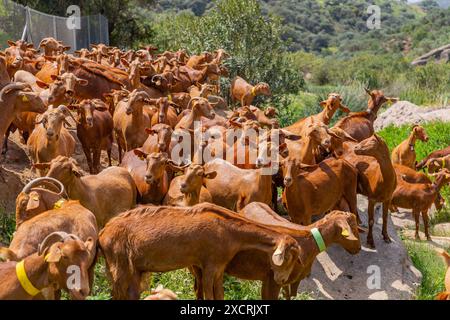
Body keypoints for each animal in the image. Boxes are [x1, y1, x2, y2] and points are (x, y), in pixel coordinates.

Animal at [99, 204, 302, 298]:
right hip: (119, 265)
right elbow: (209, 294)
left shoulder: (219, 268)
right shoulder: (209, 265)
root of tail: (104, 232)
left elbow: (219, 295)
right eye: (288, 258)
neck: (229, 231)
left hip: (133, 269)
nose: (281, 280)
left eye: (295, 259)